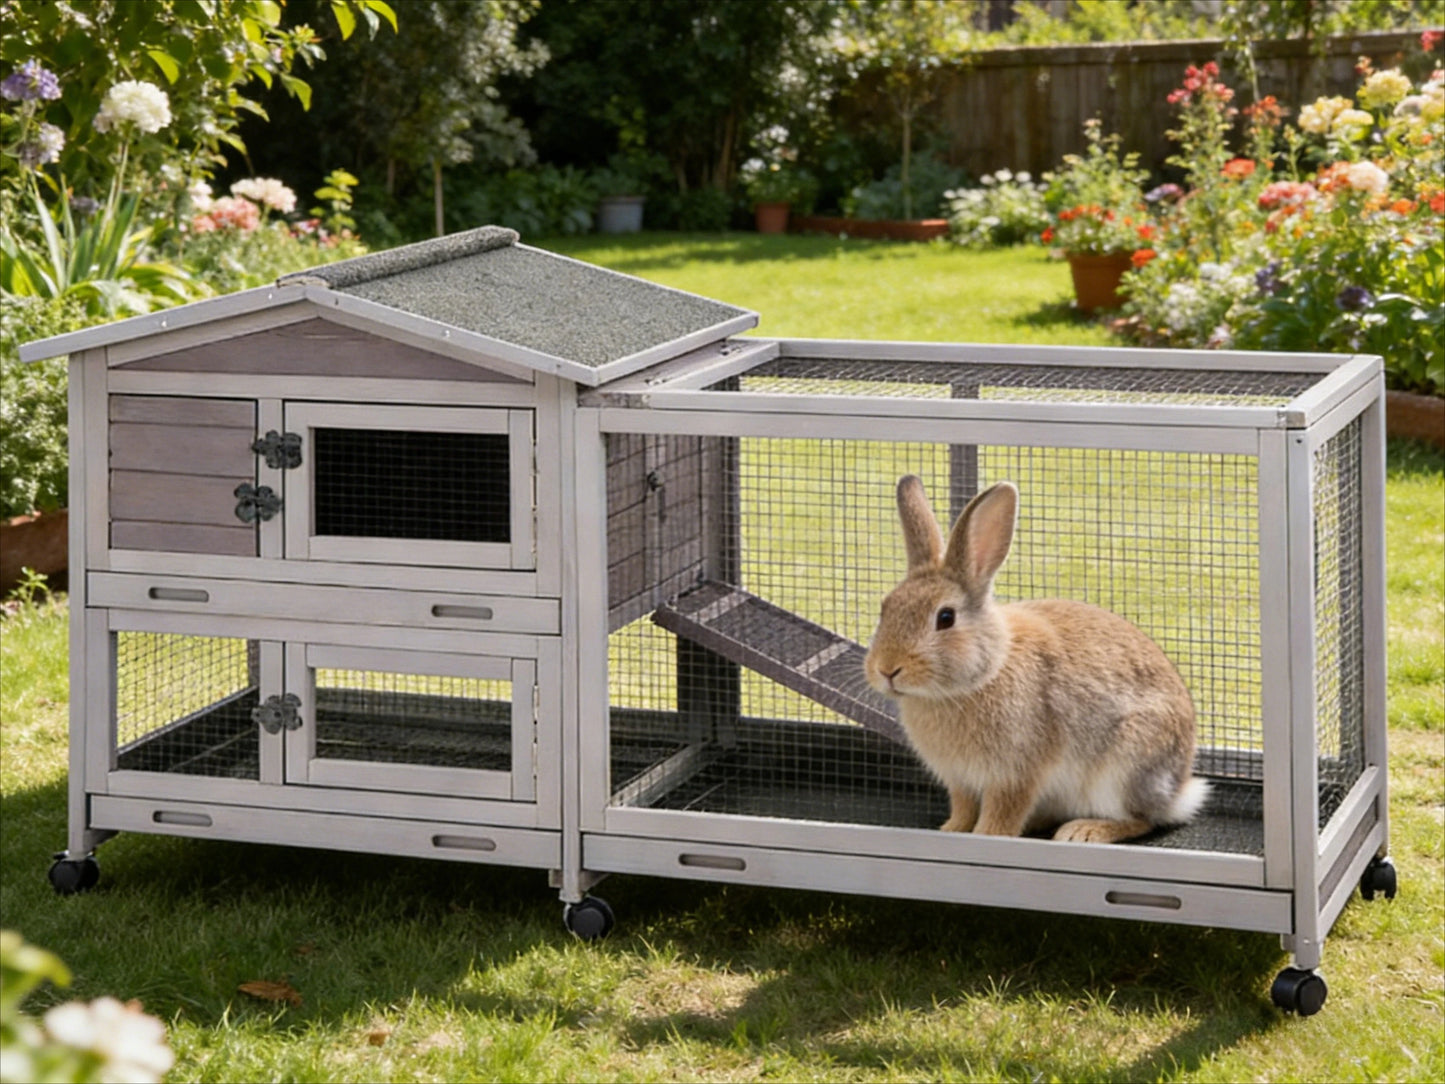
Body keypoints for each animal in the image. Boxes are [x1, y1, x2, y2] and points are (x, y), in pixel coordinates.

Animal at [863, 475, 1209, 844]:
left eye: (945, 618)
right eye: (885, 607)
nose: (887, 669)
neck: (984, 673)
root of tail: (1177, 793)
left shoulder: (1016, 773)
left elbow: (1003, 811)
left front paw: (988, 834)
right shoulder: (960, 780)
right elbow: (964, 807)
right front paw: (952, 829)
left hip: (1124, 768)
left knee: (1141, 819)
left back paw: (1083, 831)